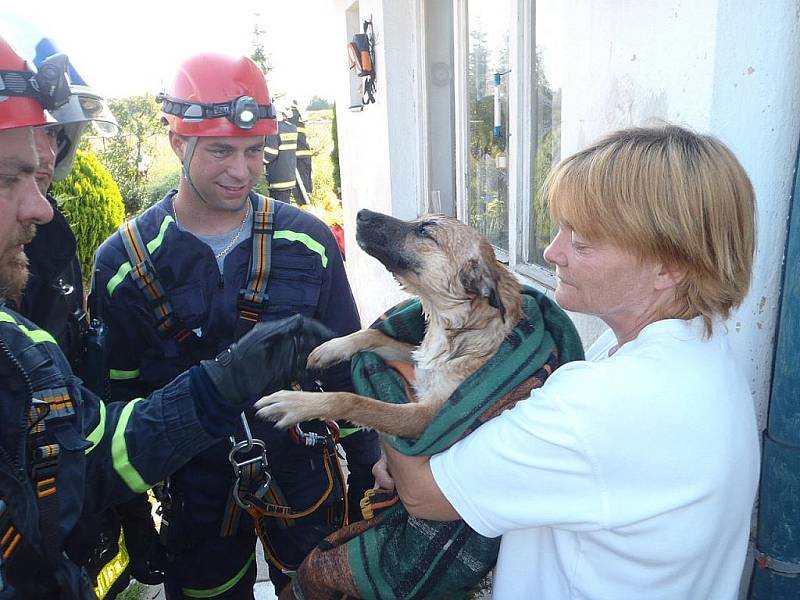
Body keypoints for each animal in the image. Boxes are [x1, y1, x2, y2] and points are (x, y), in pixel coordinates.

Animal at [253, 209, 520, 438]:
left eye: (425, 231)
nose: (362, 213)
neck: (454, 327)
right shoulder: (416, 358)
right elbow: (373, 335)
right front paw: (332, 348)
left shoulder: (424, 418)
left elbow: (355, 400)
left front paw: (297, 403)